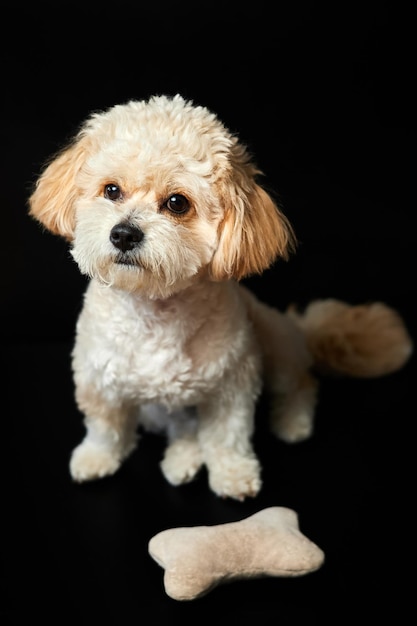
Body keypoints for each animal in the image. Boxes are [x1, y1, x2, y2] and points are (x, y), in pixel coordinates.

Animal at [28, 92, 410, 500]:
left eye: (177, 203)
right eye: (111, 190)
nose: (124, 234)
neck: (155, 309)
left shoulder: (233, 383)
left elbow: (228, 435)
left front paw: (233, 473)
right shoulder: (98, 379)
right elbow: (105, 426)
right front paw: (96, 457)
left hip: (275, 346)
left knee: (301, 382)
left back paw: (292, 421)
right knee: (181, 426)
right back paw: (183, 455)